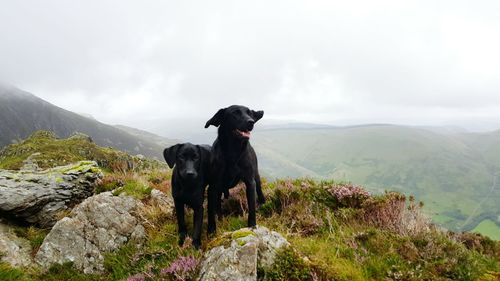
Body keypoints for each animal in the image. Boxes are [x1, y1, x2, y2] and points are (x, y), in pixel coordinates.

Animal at [204, 104, 266, 233]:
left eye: (249, 113)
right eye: (235, 113)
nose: (251, 122)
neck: (233, 151)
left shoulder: (250, 182)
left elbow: (252, 207)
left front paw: (252, 225)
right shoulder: (213, 186)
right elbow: (211, 211)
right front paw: (211, 231)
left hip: (256, 176)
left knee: (259, 189)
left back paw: (263, 202)